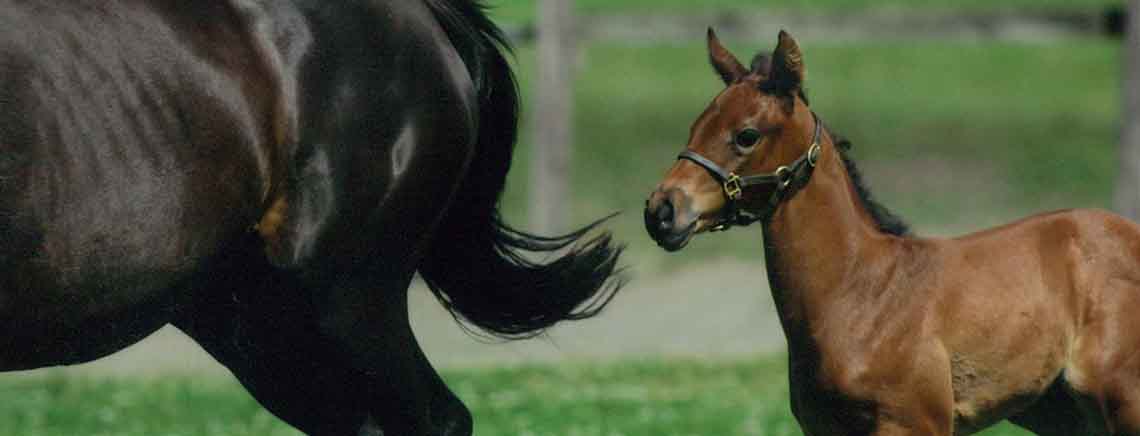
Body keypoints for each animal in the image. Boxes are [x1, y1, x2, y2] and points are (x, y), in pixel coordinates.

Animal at [647, 28, 1140, 433]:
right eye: (696, 125)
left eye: (746, 135)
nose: (661, 211)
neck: (861, 294)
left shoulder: (913, 424)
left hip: (1123, 402)